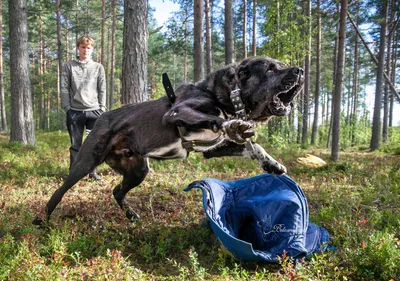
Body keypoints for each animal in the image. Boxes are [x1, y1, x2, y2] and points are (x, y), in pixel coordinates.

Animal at [33, 57, 304, 223]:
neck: (224, 96)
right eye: (270, 68)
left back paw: (131, 215)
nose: (300, 70)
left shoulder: (213, 149)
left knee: (117, 190)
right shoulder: (177, 112)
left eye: (281, 65)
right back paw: (42, 220)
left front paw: (272, 164)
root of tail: (101, 118)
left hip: (138, 170)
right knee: (59, 191)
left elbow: (253, 146)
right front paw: (233, 125)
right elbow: (215, 119)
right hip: (86, 162)